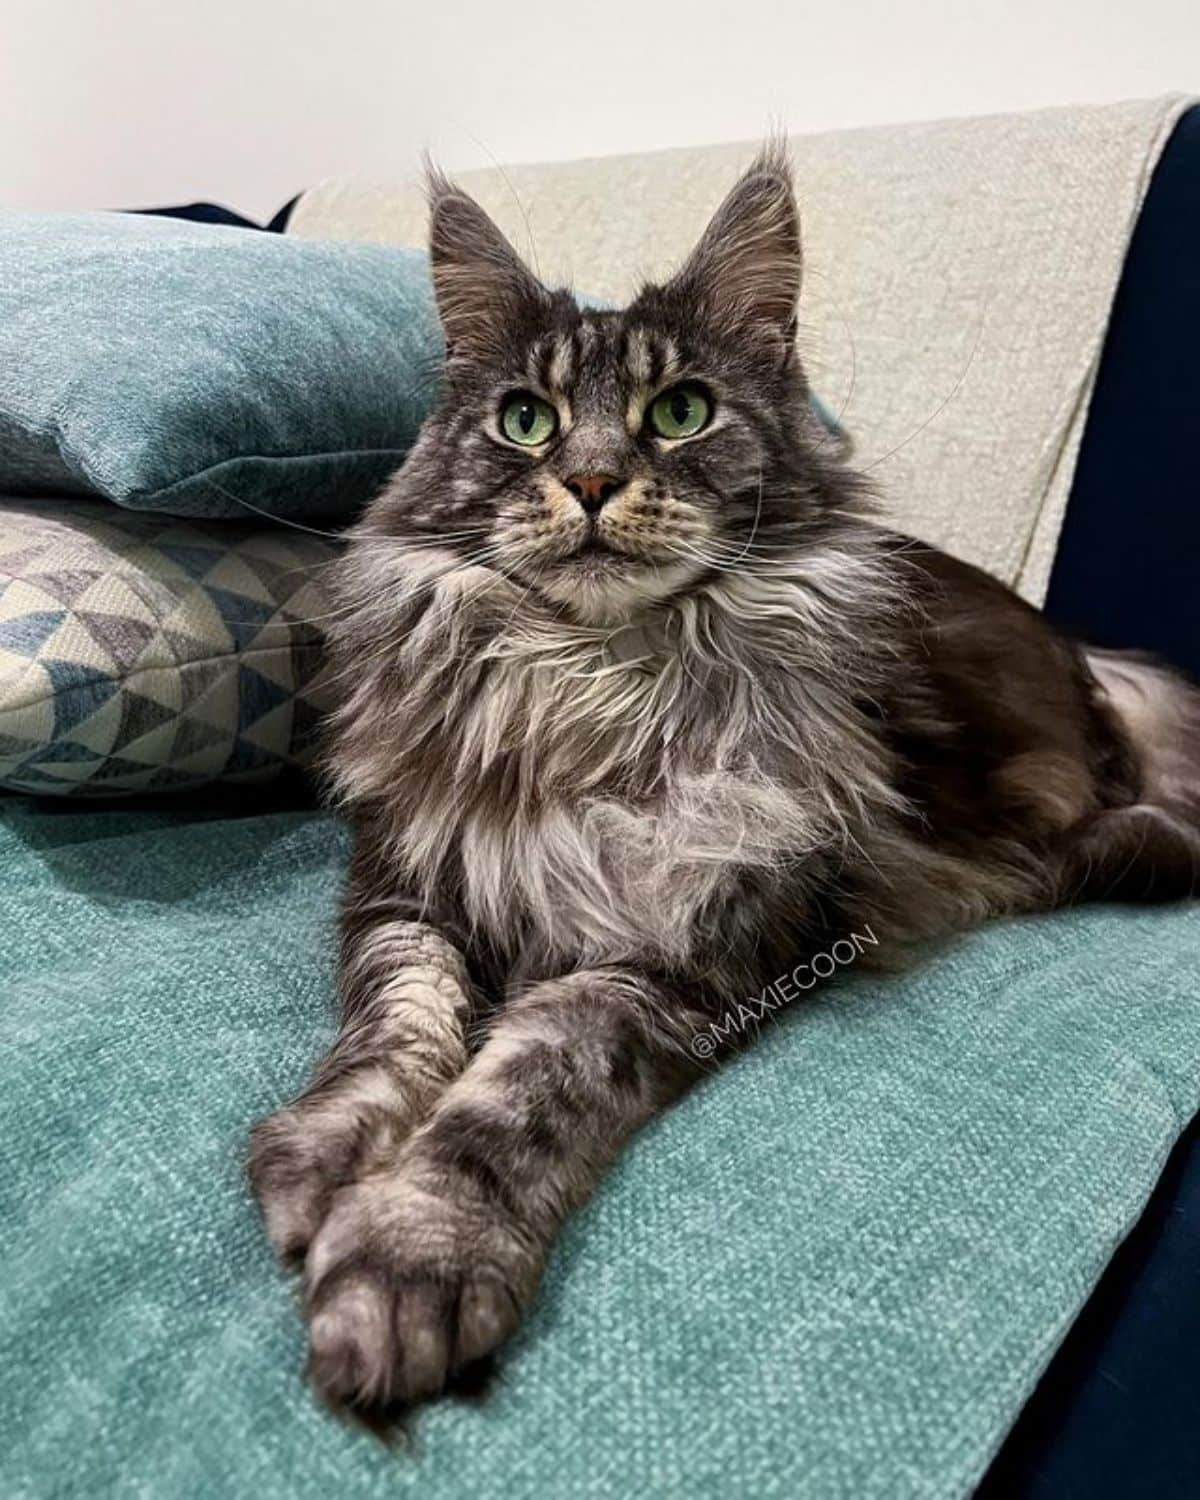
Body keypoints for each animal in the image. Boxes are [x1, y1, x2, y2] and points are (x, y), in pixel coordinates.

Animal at [249, 146, 1200, 1410]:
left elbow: (520, 1084)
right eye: (525, 421)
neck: (592, 684)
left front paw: (410, 1253)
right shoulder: (406, 883)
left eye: (679, 412)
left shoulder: (699, 944)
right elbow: (395, 1027)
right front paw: (325, 1160)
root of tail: (1090, 656)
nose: (591, 480)